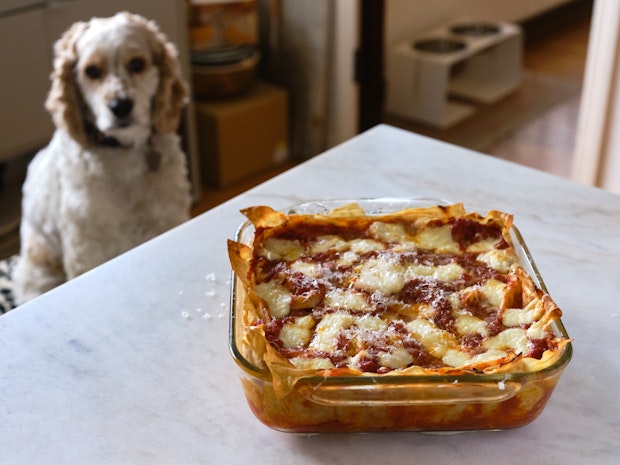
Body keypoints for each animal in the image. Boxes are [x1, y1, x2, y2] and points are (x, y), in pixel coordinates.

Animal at [15, 11, 194, 304]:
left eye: (137, 64)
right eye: (91, 71)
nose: (120, 106)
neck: (125, 154)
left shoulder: (169, 218)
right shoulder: (87, 248)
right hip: (37, 272)